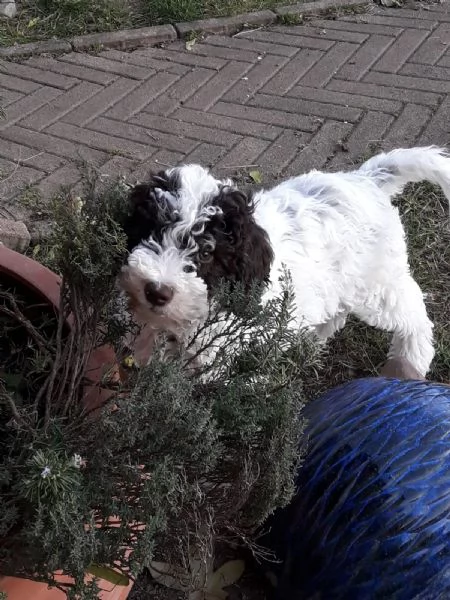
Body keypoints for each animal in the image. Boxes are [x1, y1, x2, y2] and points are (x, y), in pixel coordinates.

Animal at [118, 145, 450, 376]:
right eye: (152, 232)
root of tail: (366, 180)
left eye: (206, 253)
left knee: (413, 311)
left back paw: (410, 363)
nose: (156, 291)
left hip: (377, 284)